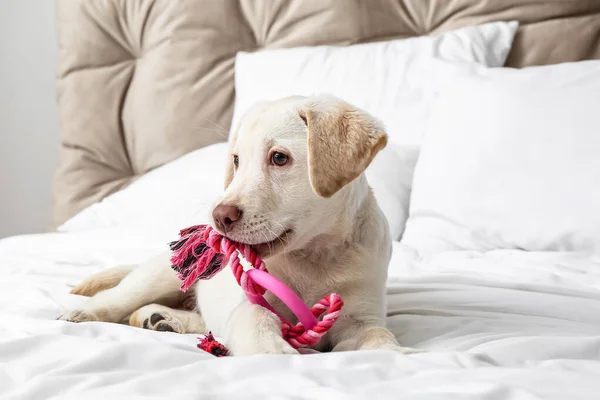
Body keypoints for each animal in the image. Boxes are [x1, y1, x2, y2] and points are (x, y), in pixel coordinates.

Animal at [62, 94, 418, 356]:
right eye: (236, 161)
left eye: (279, 158)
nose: (219, 217)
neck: (312, 255)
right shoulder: (249, 299)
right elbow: (255, 318)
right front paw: (272, 350)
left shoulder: (361, 314)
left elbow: (376, 333)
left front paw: (393, 353)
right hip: (160, 274)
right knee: (118, 297)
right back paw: (86, 313)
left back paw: (163, 319)